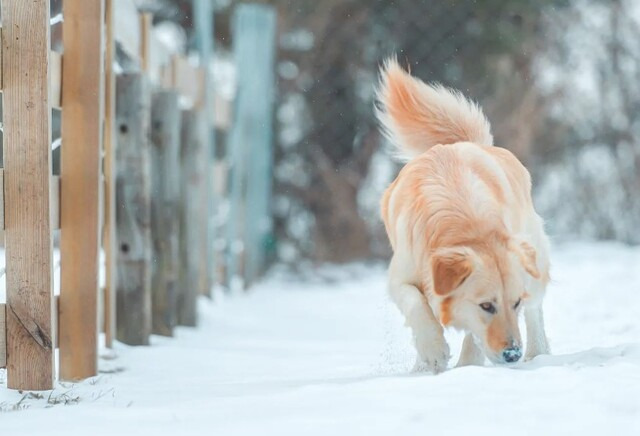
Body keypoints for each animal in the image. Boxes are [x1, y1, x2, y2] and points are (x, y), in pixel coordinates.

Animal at [378, 58, 552, 372]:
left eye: (515, 303)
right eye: (487, 306)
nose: (512, 354)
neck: (465, 223)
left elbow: (474, 336)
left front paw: (466, 368)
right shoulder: (400, 275)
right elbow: (415, 303)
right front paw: (433, 350)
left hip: (534, 257)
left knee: (536, 309)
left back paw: (537, 353)